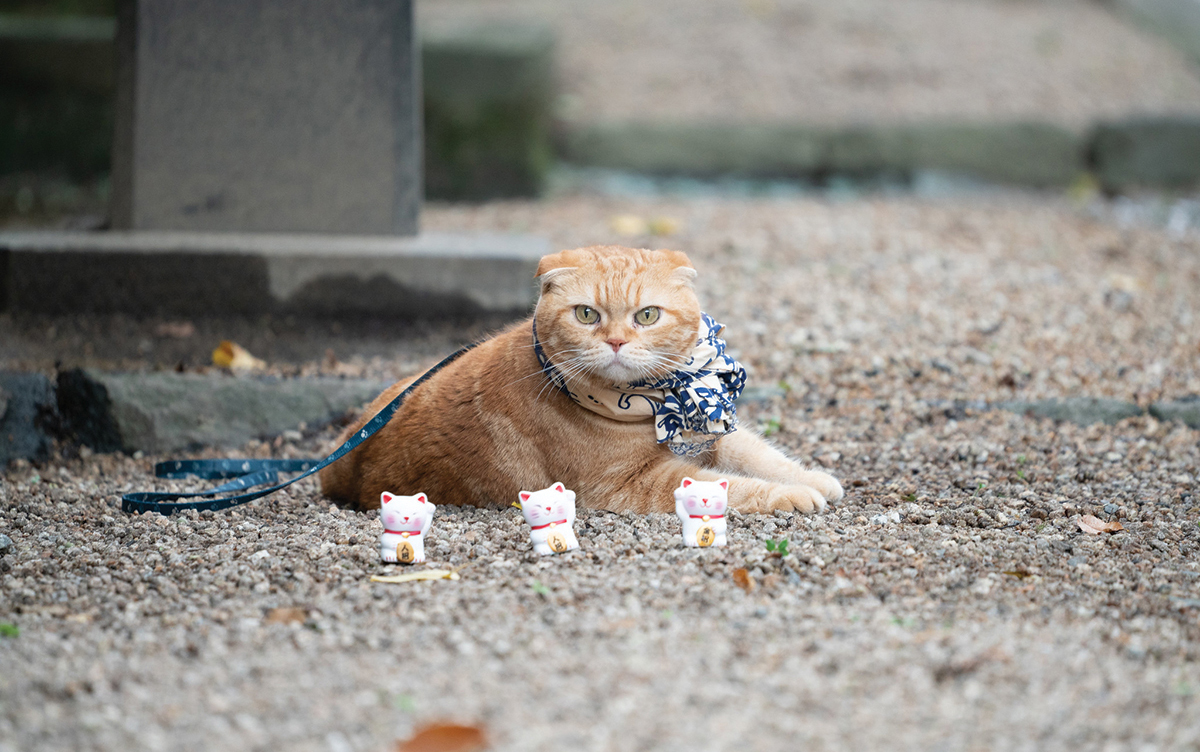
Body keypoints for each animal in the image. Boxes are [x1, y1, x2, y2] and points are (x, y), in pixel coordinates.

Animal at [321, 247, 844, 518]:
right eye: (587, 314)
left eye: (647, 315)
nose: (615, 341)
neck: (654, 402)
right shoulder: (632, 486)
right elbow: (731, 486)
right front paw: (792, 496)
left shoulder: (709, 434)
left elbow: (762, 455)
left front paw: (812, 477)